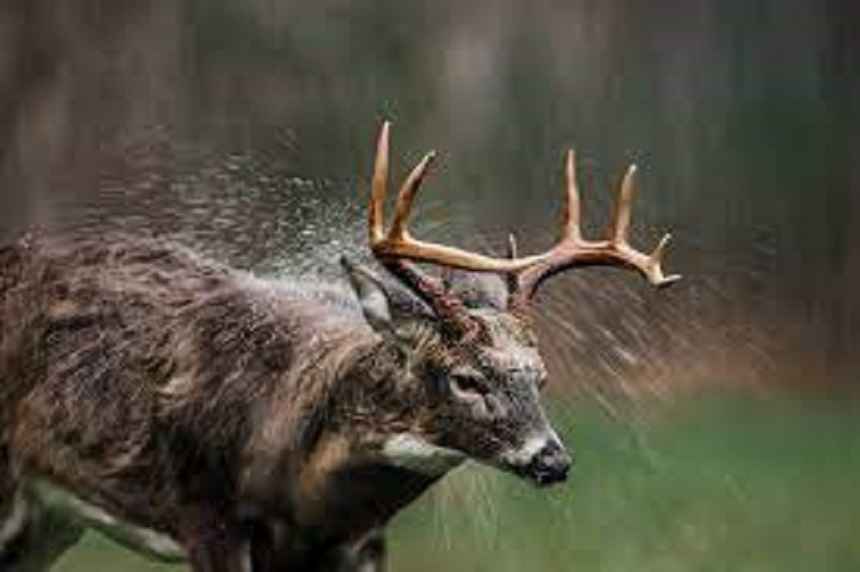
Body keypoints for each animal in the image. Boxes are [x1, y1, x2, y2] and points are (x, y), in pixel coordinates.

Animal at [0, 122, 679, 572]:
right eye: (466, 378)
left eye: (539, 376)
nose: (552, 461)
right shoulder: (210, 521)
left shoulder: (360, 547)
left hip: (50, 516)